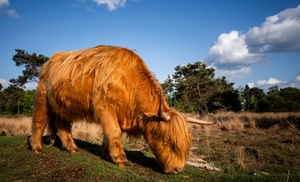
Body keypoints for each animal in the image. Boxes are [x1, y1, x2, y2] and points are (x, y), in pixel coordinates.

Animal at [29, 45, 214, 173]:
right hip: (42, 97)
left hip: (64, 104)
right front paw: (120, 159)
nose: (178, 169)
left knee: (62, 125)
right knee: (39, 120)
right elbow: (114, 132)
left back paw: (71, 147)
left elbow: (108, 134)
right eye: (167, 140)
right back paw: (36, 147)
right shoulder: (104, 107)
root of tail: (50, 60)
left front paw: (106, 153)